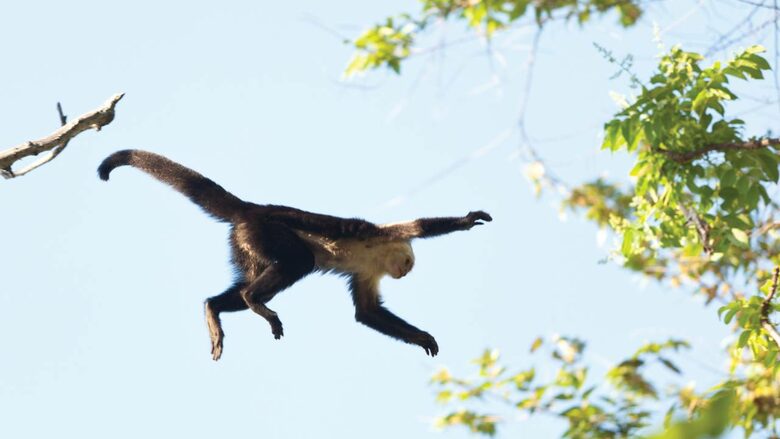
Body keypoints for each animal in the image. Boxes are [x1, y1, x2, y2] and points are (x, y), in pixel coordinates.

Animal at [98, 150, 492, 360]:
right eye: (407, 262)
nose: (405, 272)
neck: (378, 256)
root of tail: (250, 209)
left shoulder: (369, 271)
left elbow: (367, 312)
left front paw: (421, 338)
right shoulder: (385, 235)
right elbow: (423, 226)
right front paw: (467, 220)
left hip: (245, 245)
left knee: (250, 279)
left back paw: (214, 309)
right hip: (263, 232)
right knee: (298, 262)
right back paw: (253, 300)